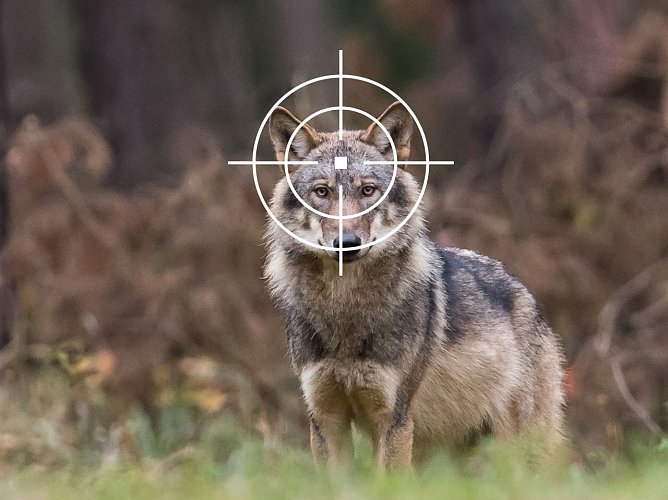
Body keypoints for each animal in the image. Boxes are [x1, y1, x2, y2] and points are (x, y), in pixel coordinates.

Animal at [264, 101, 564, 470]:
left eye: (367, 191)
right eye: (322, 192)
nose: (346, 243)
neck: (345, 310)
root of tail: (527, 296)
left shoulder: (393, 419)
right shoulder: (324, 418)